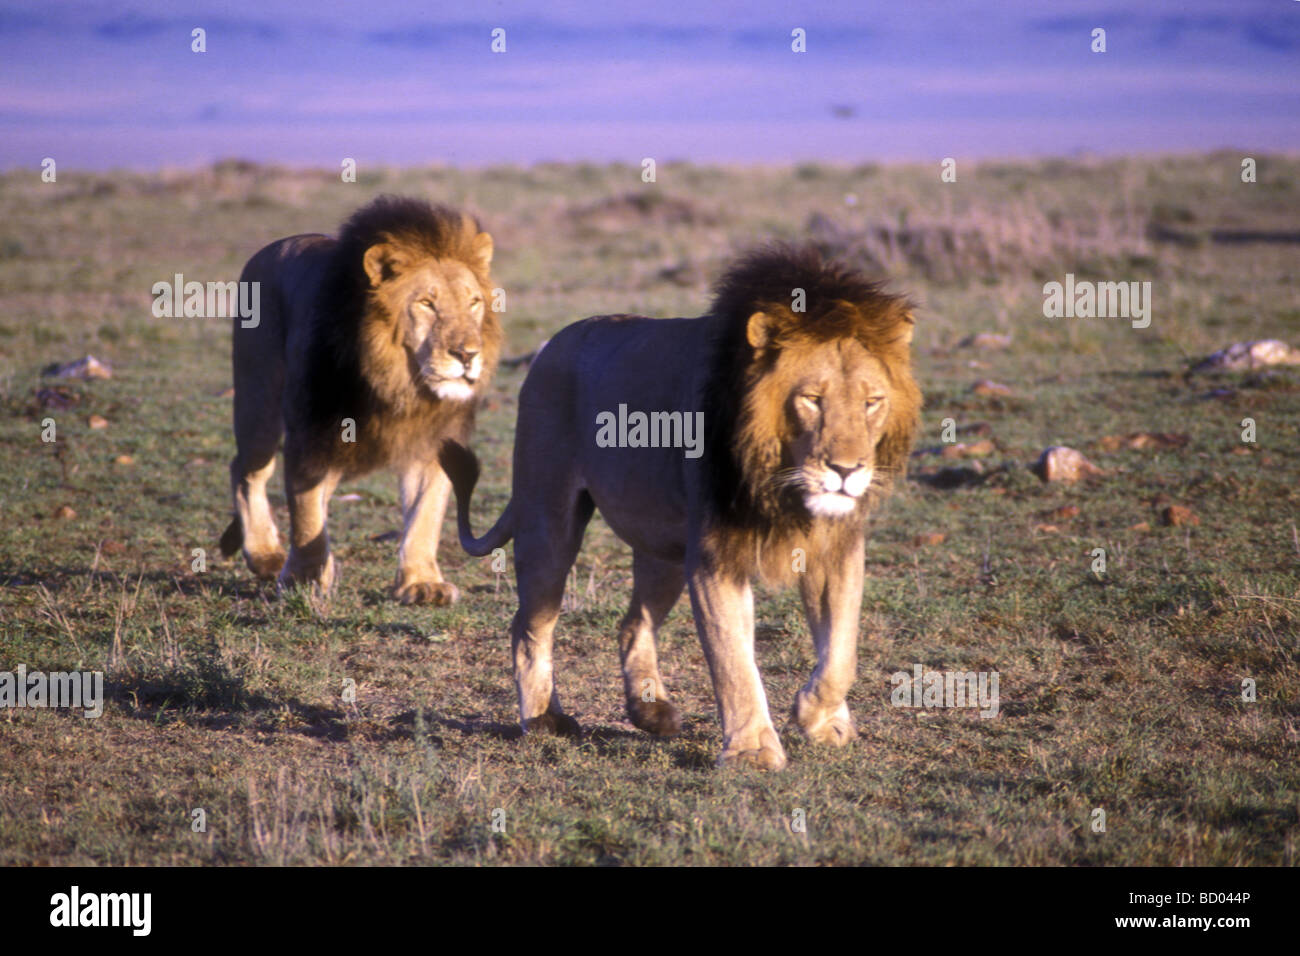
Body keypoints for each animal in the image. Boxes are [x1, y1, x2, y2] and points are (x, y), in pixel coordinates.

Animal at [215, 192, 499, 606]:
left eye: (474, 302)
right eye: (426, 303)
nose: (468, 354)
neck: (398, 383)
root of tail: (274, 246)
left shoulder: (433, 445)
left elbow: (425, 515)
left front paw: (421, 583)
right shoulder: (311, 435)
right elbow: (306, 515)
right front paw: (303, 579)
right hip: (258, 401)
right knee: (246, 470)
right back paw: (267, 555)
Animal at [441, 247, 920, 770]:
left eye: (873, 402)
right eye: (812, 400)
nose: (847, 470)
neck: (779, 479)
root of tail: (551, 345)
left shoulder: (836, 544)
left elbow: (842, 649)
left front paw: (820, 718)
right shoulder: (714, 554)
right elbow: (733, 659)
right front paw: (752, 751)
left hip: (662, 548)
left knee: (633, 624)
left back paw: (651, 713)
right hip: (548, 519)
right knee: (529, 626)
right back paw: (546, 718)